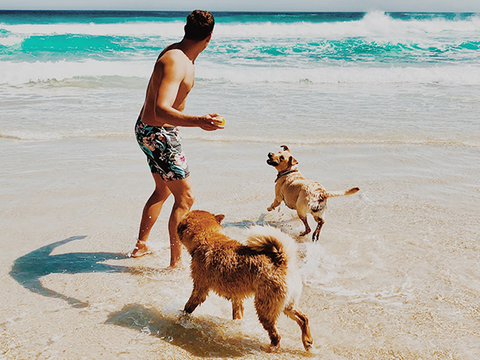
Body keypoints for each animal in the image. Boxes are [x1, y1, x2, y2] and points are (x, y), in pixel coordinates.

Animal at [178, 210, 314, 352]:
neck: (208, 239)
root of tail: (283, 261)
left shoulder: (200, 289)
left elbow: (188, 307)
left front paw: (182, 318)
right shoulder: (237, 297)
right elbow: (237, 314)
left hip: (265, 308)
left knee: (277, 335)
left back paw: (271, 347)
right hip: (286, 305)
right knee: (303, 318)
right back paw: (307, 341)